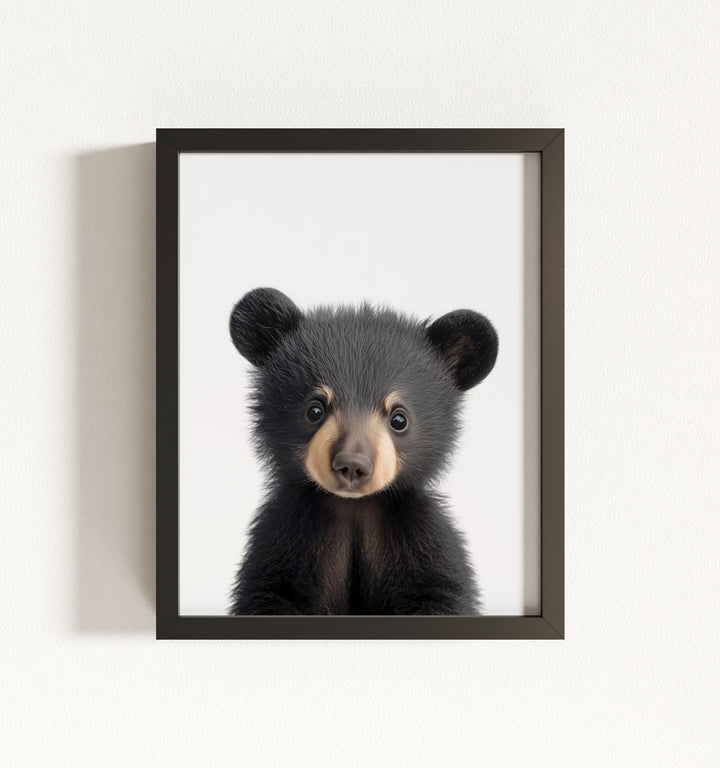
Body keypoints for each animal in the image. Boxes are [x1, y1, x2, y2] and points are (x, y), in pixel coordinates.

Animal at [228, 287, 498, 615]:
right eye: (314, 410)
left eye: (399, 419)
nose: (352, 465)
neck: (354, 507)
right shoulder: (284, 537)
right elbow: (271, 591)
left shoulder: (420, 535)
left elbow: (441, 590)